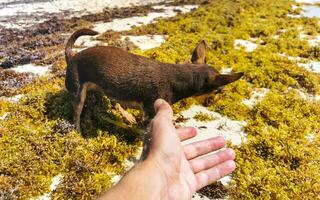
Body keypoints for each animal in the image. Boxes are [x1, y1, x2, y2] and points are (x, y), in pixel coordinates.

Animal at [66, 28, 244, 131]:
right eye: (219, 91)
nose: (216, 103)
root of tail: (71, 57)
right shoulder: (152, 113)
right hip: (78, 93)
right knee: (76, 114)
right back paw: (78, 131)